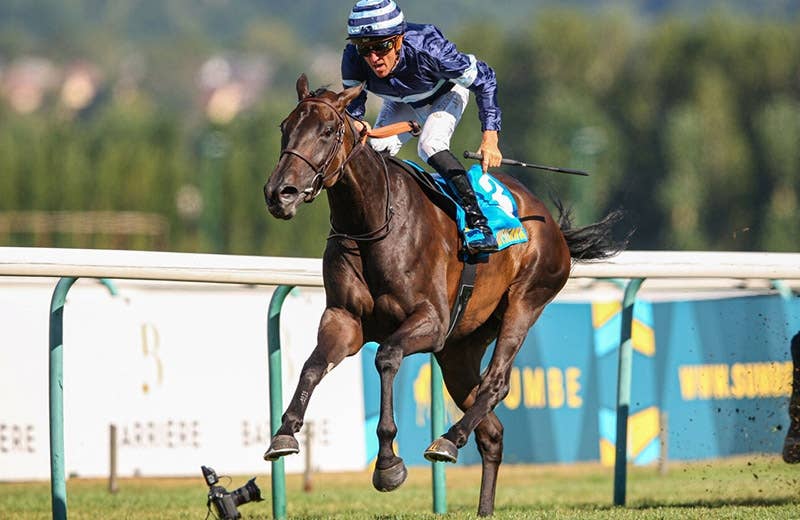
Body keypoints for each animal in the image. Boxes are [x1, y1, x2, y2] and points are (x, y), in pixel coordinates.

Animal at [262, 74, 625, 516]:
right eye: (285, 127)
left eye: (328, 131)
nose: (280, 193)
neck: (373, 222)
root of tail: (551, 225)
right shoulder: (344, 319)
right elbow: (312, 366)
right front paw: (284, 433)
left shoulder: (430, 323)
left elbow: (387, 357)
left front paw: (388, 463)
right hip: (459, 349)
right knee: (492, 429)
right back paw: (482, 502)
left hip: (525, 301)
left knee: (497, 383)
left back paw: (449, 441)